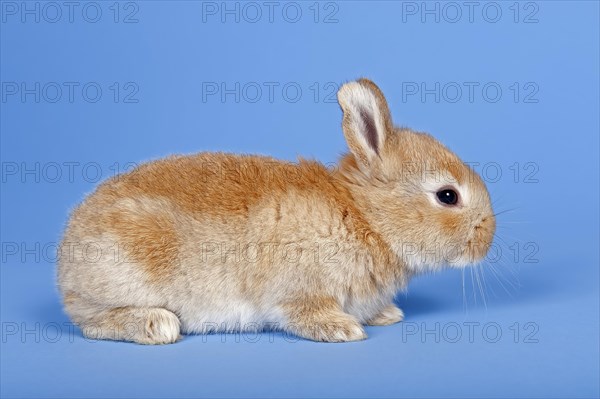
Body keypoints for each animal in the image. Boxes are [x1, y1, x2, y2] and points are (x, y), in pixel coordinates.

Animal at [57, 78, 496, 344]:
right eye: (447, 196)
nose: (488, 237)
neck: (366, 217)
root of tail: (65, 263)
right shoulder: (300, 290)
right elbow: (305, 313)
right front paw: (344, 329)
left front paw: (386, 315)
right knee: (92, 321)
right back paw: (157, 325)